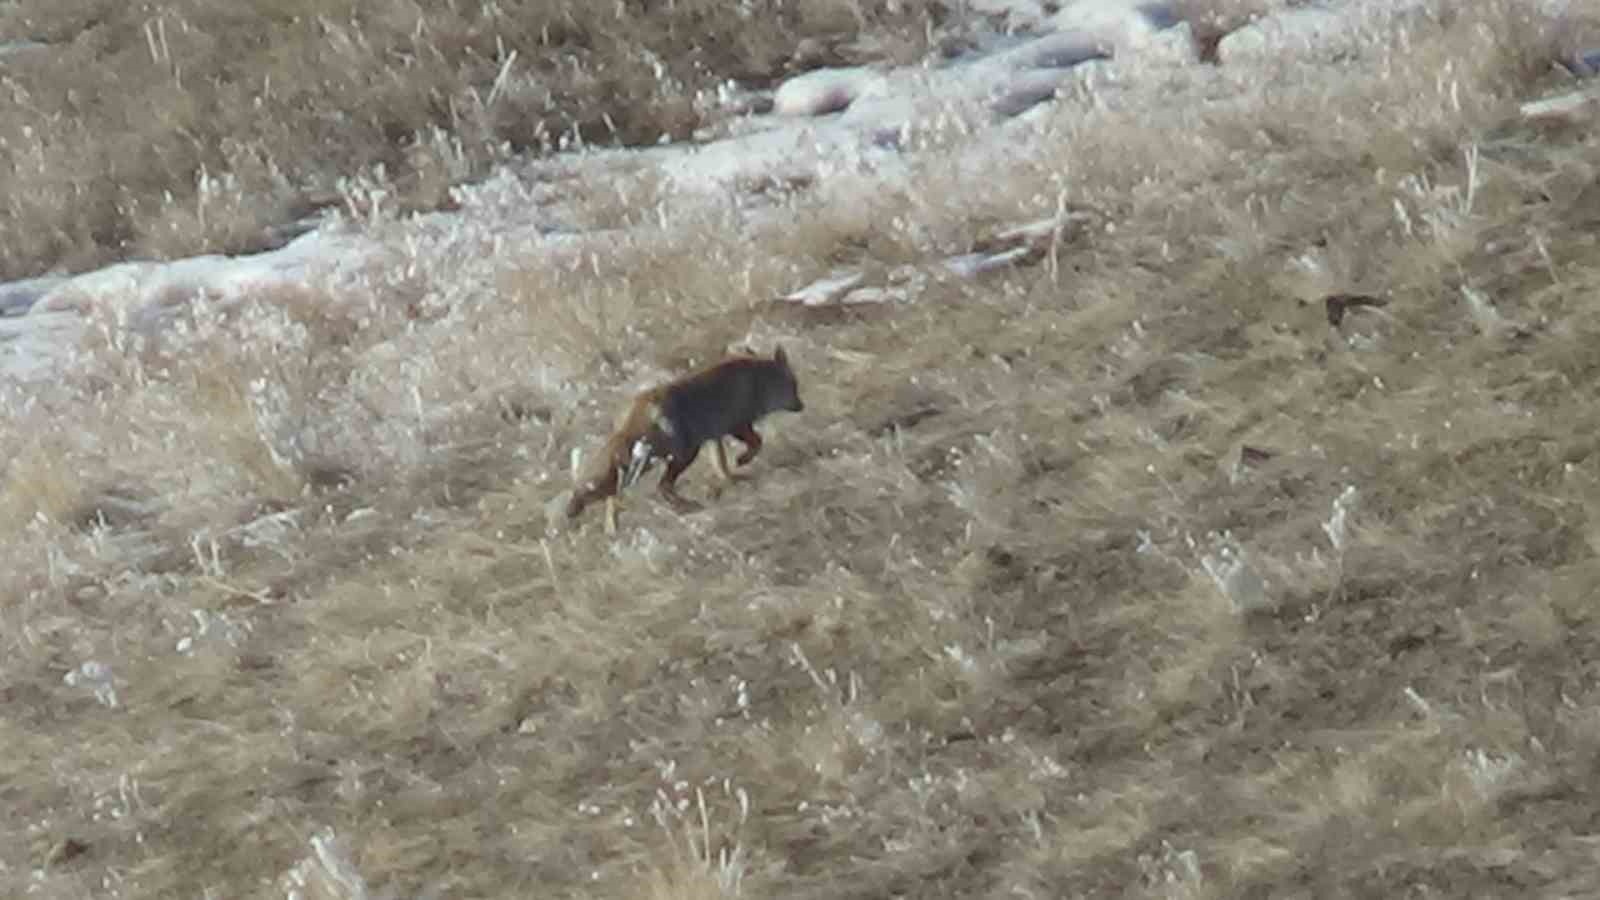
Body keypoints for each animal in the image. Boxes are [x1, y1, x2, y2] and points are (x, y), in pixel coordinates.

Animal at [566, 341, 812, 525]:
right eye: (793, 386)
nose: (801, 406)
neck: (758, 381)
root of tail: (639, 405)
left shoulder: (714, 438)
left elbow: (722, 467)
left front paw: (730, 481)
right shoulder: (738, 426)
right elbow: (756, 443)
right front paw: (742, 461)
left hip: (649, 461)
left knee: (616, 491)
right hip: (679, 456)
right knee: (657, 486)